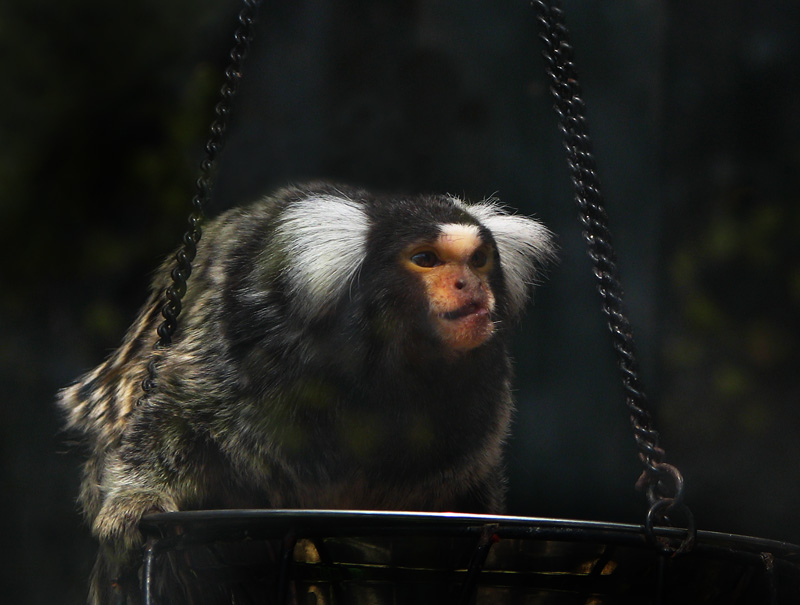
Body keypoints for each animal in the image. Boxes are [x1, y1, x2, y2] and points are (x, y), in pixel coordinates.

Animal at [57, 182, 556, 600]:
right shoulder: (250, 338)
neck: (388, 361)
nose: (468, 285)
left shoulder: (482, 396)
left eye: (479, 260)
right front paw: (133, 502)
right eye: (426, 259)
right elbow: (178, 412)